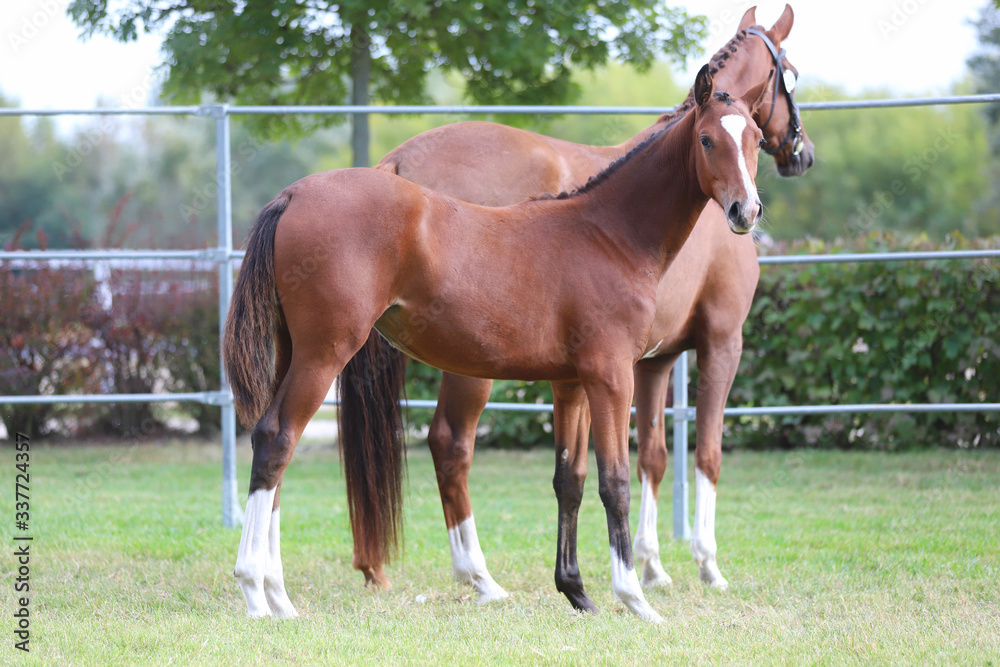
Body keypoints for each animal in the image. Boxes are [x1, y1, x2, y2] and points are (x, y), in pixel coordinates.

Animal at [224, 66, 769, 622]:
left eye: (757, 139)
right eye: (706, 139)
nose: (746, 211)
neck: (607, 234)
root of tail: (293, 195)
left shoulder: (570, 384)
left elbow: (569, 480)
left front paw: (577, 592)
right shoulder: (612, 377)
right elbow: (614, 481)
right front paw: (635, 598)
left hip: (293, 353)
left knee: (277, 455)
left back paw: (278, 595)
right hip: (325, 353)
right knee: (276, 438)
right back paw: (255, 592)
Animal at [343, 4, 815, 610]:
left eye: (754, 136)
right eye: (792, 75)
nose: (801, 154)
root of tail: (397, 165)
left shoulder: (652, 361)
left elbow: (651, 456)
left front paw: (651, 566)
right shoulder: (720, 342)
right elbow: (706, 454)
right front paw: (706, 566)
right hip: (471, 365)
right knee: (451, 444)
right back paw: (479, 576)